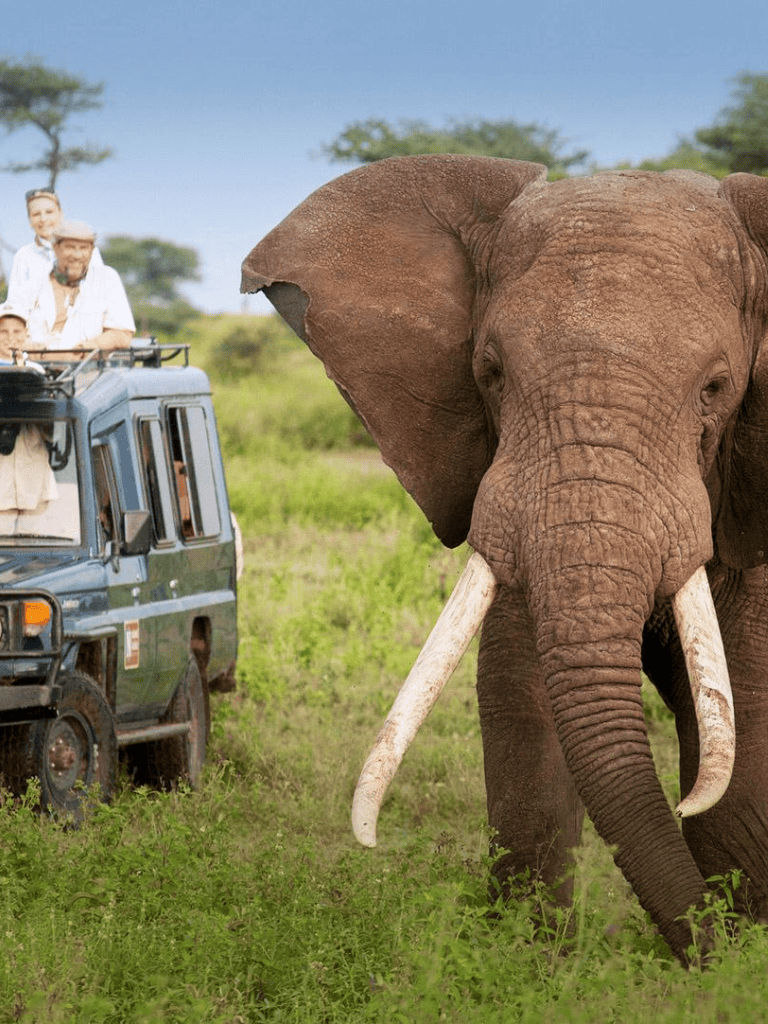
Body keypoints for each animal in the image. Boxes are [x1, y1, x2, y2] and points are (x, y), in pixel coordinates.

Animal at [241, 155, 768, 966]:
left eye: (716, 388)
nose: (704, 957)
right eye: (490, 372)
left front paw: (735, 965)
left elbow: (750, 707)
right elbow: (523, 694)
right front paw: (530, 966)